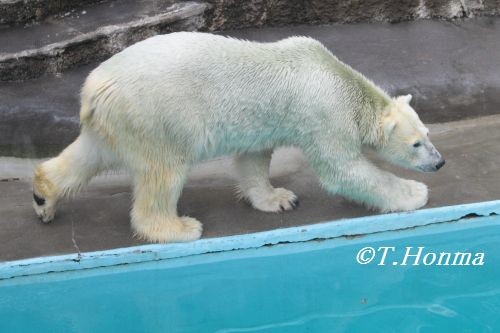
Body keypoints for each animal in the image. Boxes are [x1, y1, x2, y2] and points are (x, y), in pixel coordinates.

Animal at [32, 32, 446, 243]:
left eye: (428, 134)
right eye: (416, 143)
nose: (440, 161)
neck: (340, 79)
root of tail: (95, 89)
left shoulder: (265, 123)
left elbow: (253, 159)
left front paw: (279, 198)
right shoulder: (324, 114)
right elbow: (342, 169)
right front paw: (414, 193)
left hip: (116, 122)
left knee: (89, 154)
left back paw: (43, 196)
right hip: (157, 116)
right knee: (163, 173)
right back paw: (179, 228)